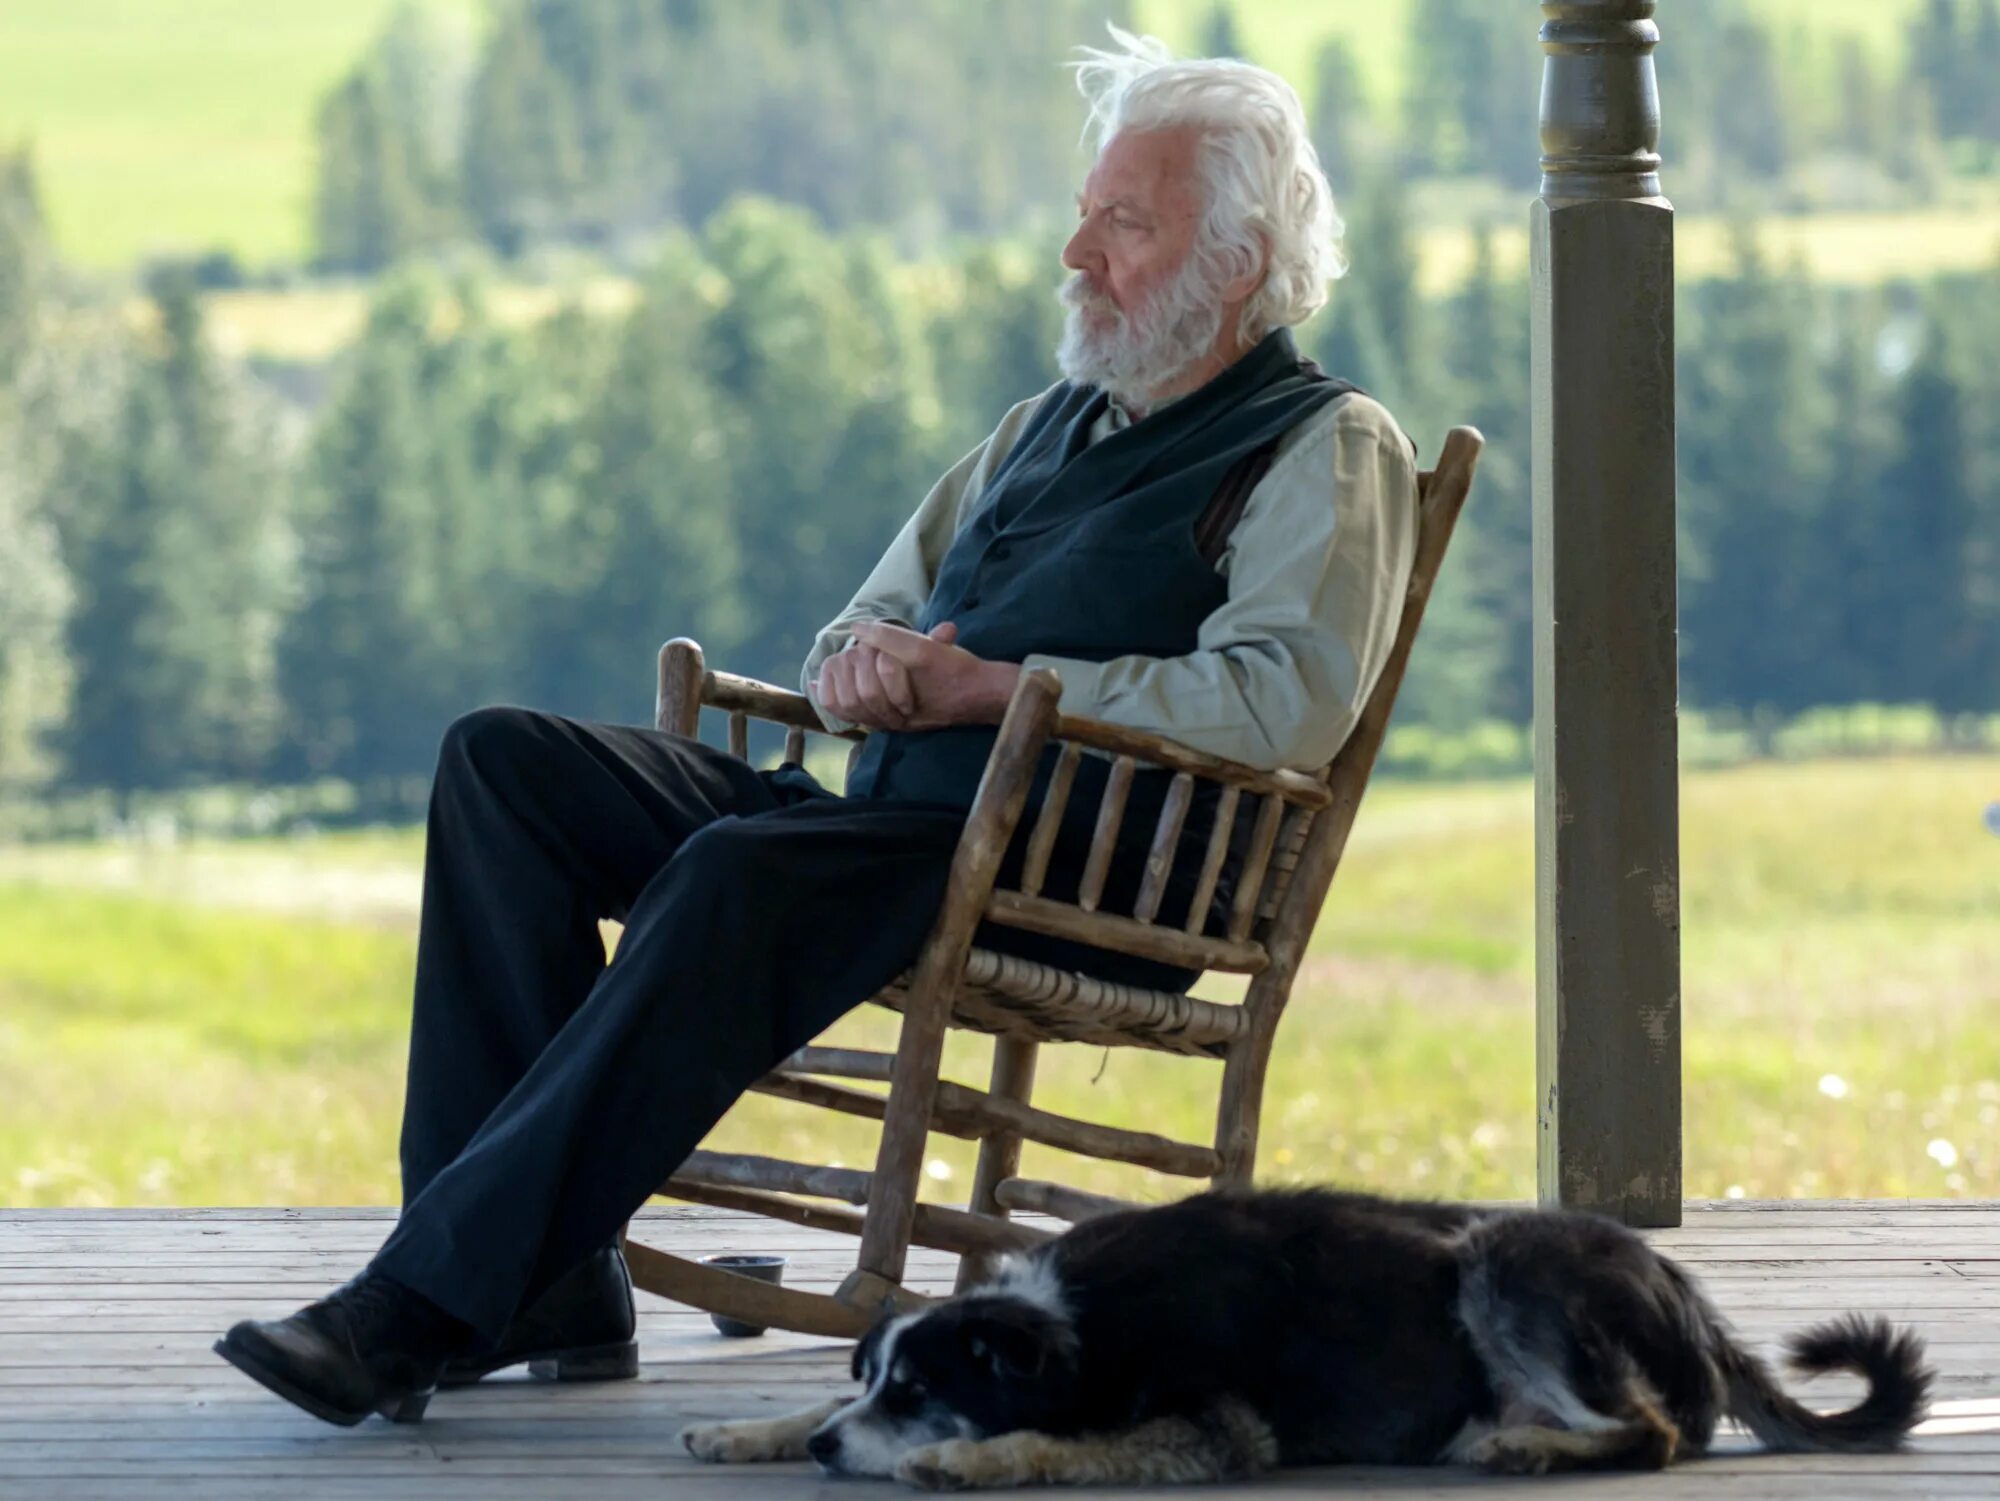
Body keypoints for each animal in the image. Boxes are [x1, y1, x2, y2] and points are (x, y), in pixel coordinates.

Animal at [680, 1184, 1928, 1496]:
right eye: (871, 1379)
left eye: (919, 1390)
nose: (829, 1453)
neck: (1076, 1332)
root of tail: (1686, 1292)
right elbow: (797, 1401)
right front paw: (752, 1430)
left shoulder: (1211, 1431)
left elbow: (1045, 1443)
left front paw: (958, 1456)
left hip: (1506, 1258)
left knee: (1650, 1430)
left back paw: (1524, 1448)